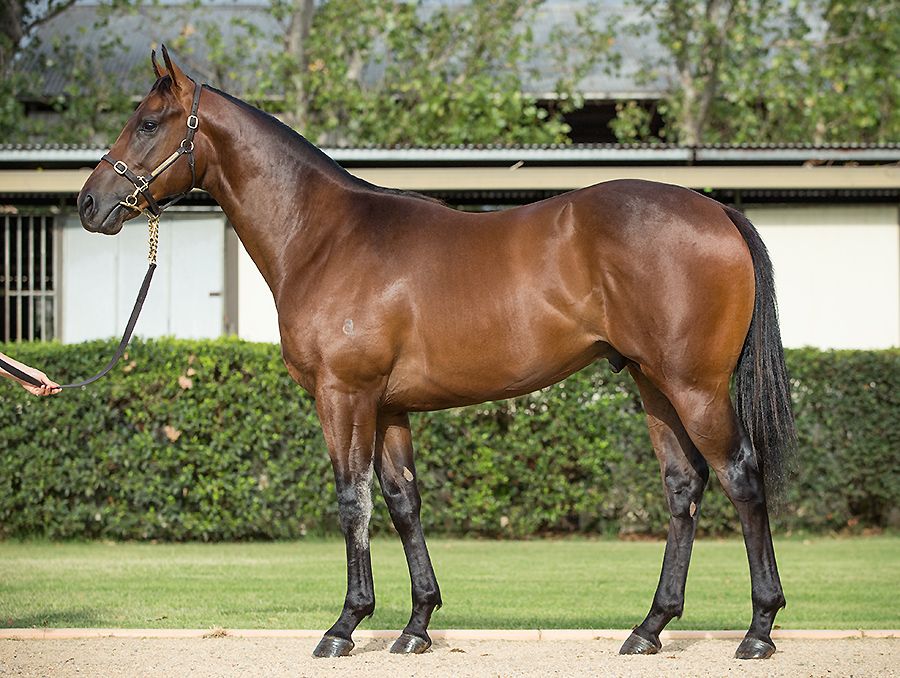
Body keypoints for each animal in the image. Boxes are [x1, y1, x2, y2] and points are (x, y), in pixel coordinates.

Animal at [77, 47, 796, 660]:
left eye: (147, 123)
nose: (90, 203)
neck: (326, 237)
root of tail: (717, 211)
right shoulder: (389, 407)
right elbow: (402, 502)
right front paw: (417, 625)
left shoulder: (344, 395)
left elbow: (353, 501)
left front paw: (344, 626)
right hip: (652, 384)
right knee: (684, 486)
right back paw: (649, 628)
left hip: (693, 385)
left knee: (740, 476)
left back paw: (758, 630)